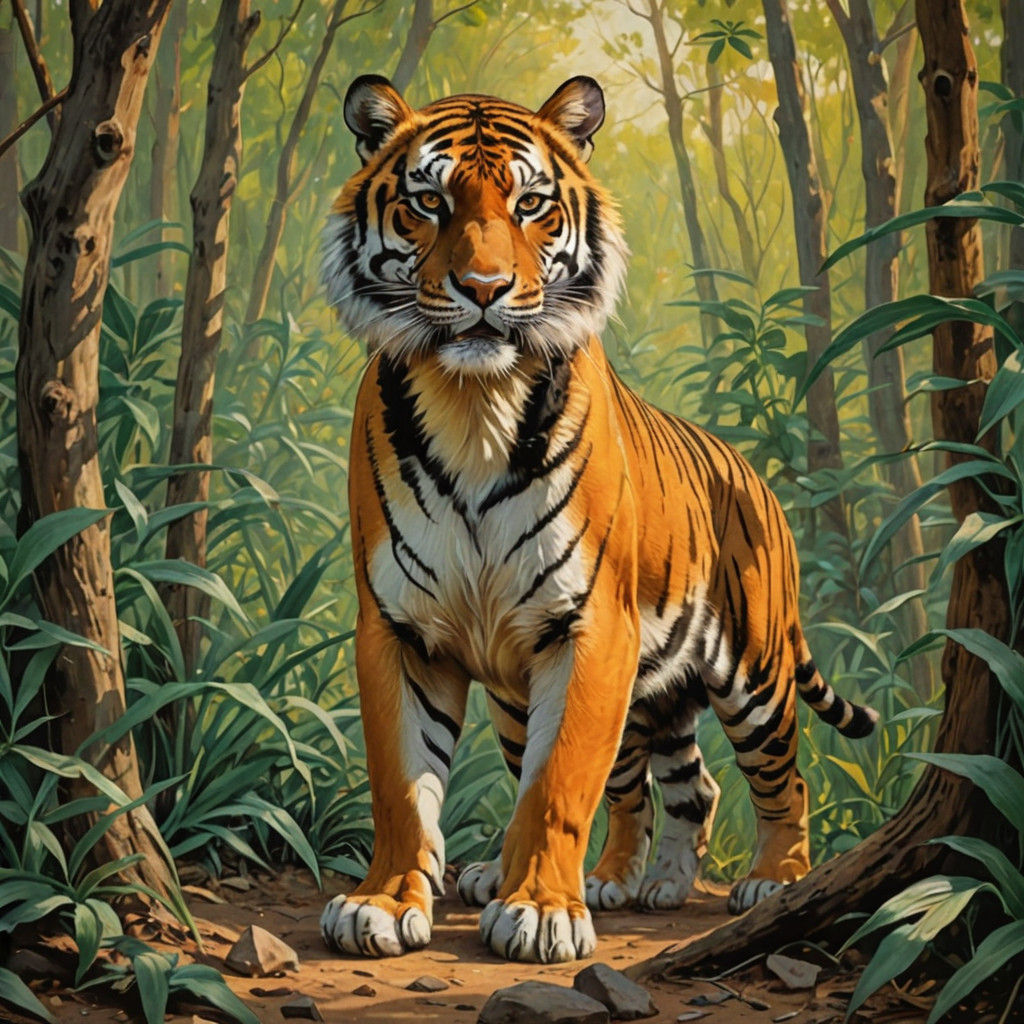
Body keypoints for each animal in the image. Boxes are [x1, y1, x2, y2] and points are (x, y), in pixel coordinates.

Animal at [319, 74, 878, 964]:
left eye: (532, 204)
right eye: (429, 202)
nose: (483, 289)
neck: (474, 404)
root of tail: (755, 476)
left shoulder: (590, 629)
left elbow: (557, 784)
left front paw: (542, 912)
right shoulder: (398, 628)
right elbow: (403, 784)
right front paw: (383, 902)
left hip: (752, 672)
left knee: (780, 774)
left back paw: (775, 880)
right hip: (610, 692)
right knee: (686, 784)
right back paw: (635, 882)